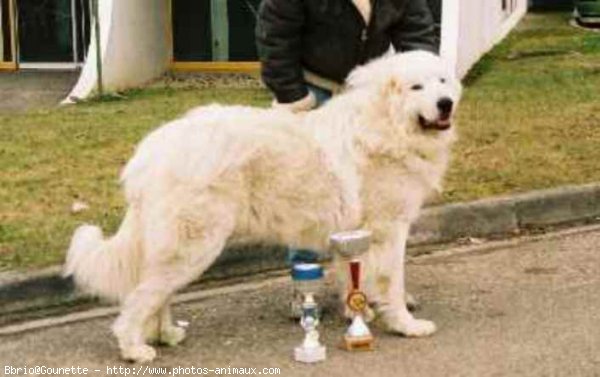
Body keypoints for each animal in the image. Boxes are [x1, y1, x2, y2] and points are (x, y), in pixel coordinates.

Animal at [64, 50, 460, 362]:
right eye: (416, 87)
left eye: (442, 81)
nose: (446, 103)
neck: (385, 124)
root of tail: (151, 150)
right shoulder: (387, 229)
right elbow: (391, 281)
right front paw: (406, 325)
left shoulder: (355, 235)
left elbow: (355, 278)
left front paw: (357, 314)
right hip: (192, 243)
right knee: (140, 296)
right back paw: (134, 348)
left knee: (156, 291)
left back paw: (166, 334)